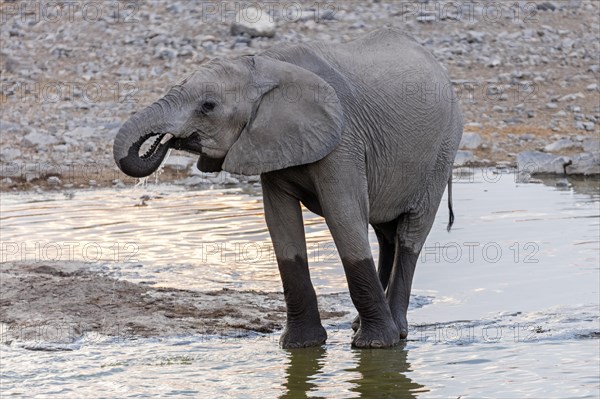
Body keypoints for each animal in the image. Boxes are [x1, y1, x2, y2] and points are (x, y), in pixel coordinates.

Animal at [112, 28, 464, 348]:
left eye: (208, 106)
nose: (162, 141)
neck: (267, 67)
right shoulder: (270, 141)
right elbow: (281, 223)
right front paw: (298, 346)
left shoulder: (343, 141)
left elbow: (343, 216)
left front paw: (375, 346)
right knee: (385, 232)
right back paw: (361, 323)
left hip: (443, 150)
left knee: (410, 235)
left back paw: (397, 333)